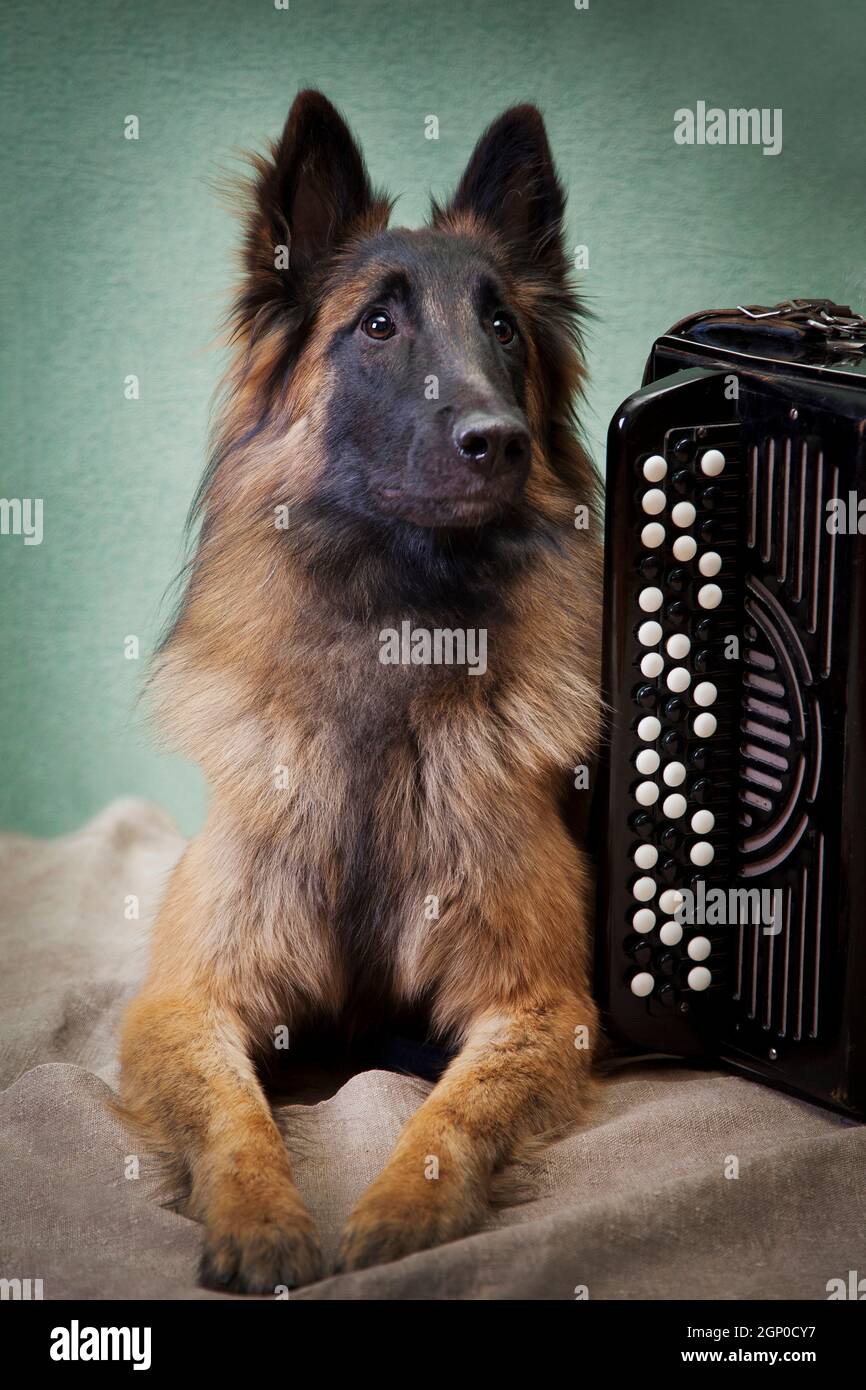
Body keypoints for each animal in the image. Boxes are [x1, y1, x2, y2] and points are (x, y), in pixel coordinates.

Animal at [120, 92, 603, 1289]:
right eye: (377, 326)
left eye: (502, 329)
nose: (496, 441)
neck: (397, 634)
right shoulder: (181, 1000)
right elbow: (232, 1112)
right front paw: (260, 1218)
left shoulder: (541, 1005)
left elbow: (455, 1110)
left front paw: (399, 1209)